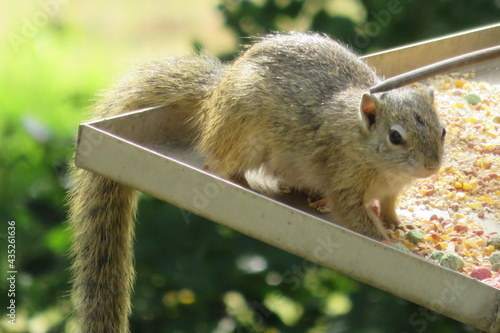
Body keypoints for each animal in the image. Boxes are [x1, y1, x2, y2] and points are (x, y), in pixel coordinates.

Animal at [66, 31, 446, 332]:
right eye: (395, 137)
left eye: (442, 130)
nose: (432, 165)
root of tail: (216, 94)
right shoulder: (343, 180)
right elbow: (355, 216)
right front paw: (385, 238)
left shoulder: (391, 191)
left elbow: (390, 207)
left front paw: (398, 224)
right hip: (243, 136)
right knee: (220, 164)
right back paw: (245, 181)